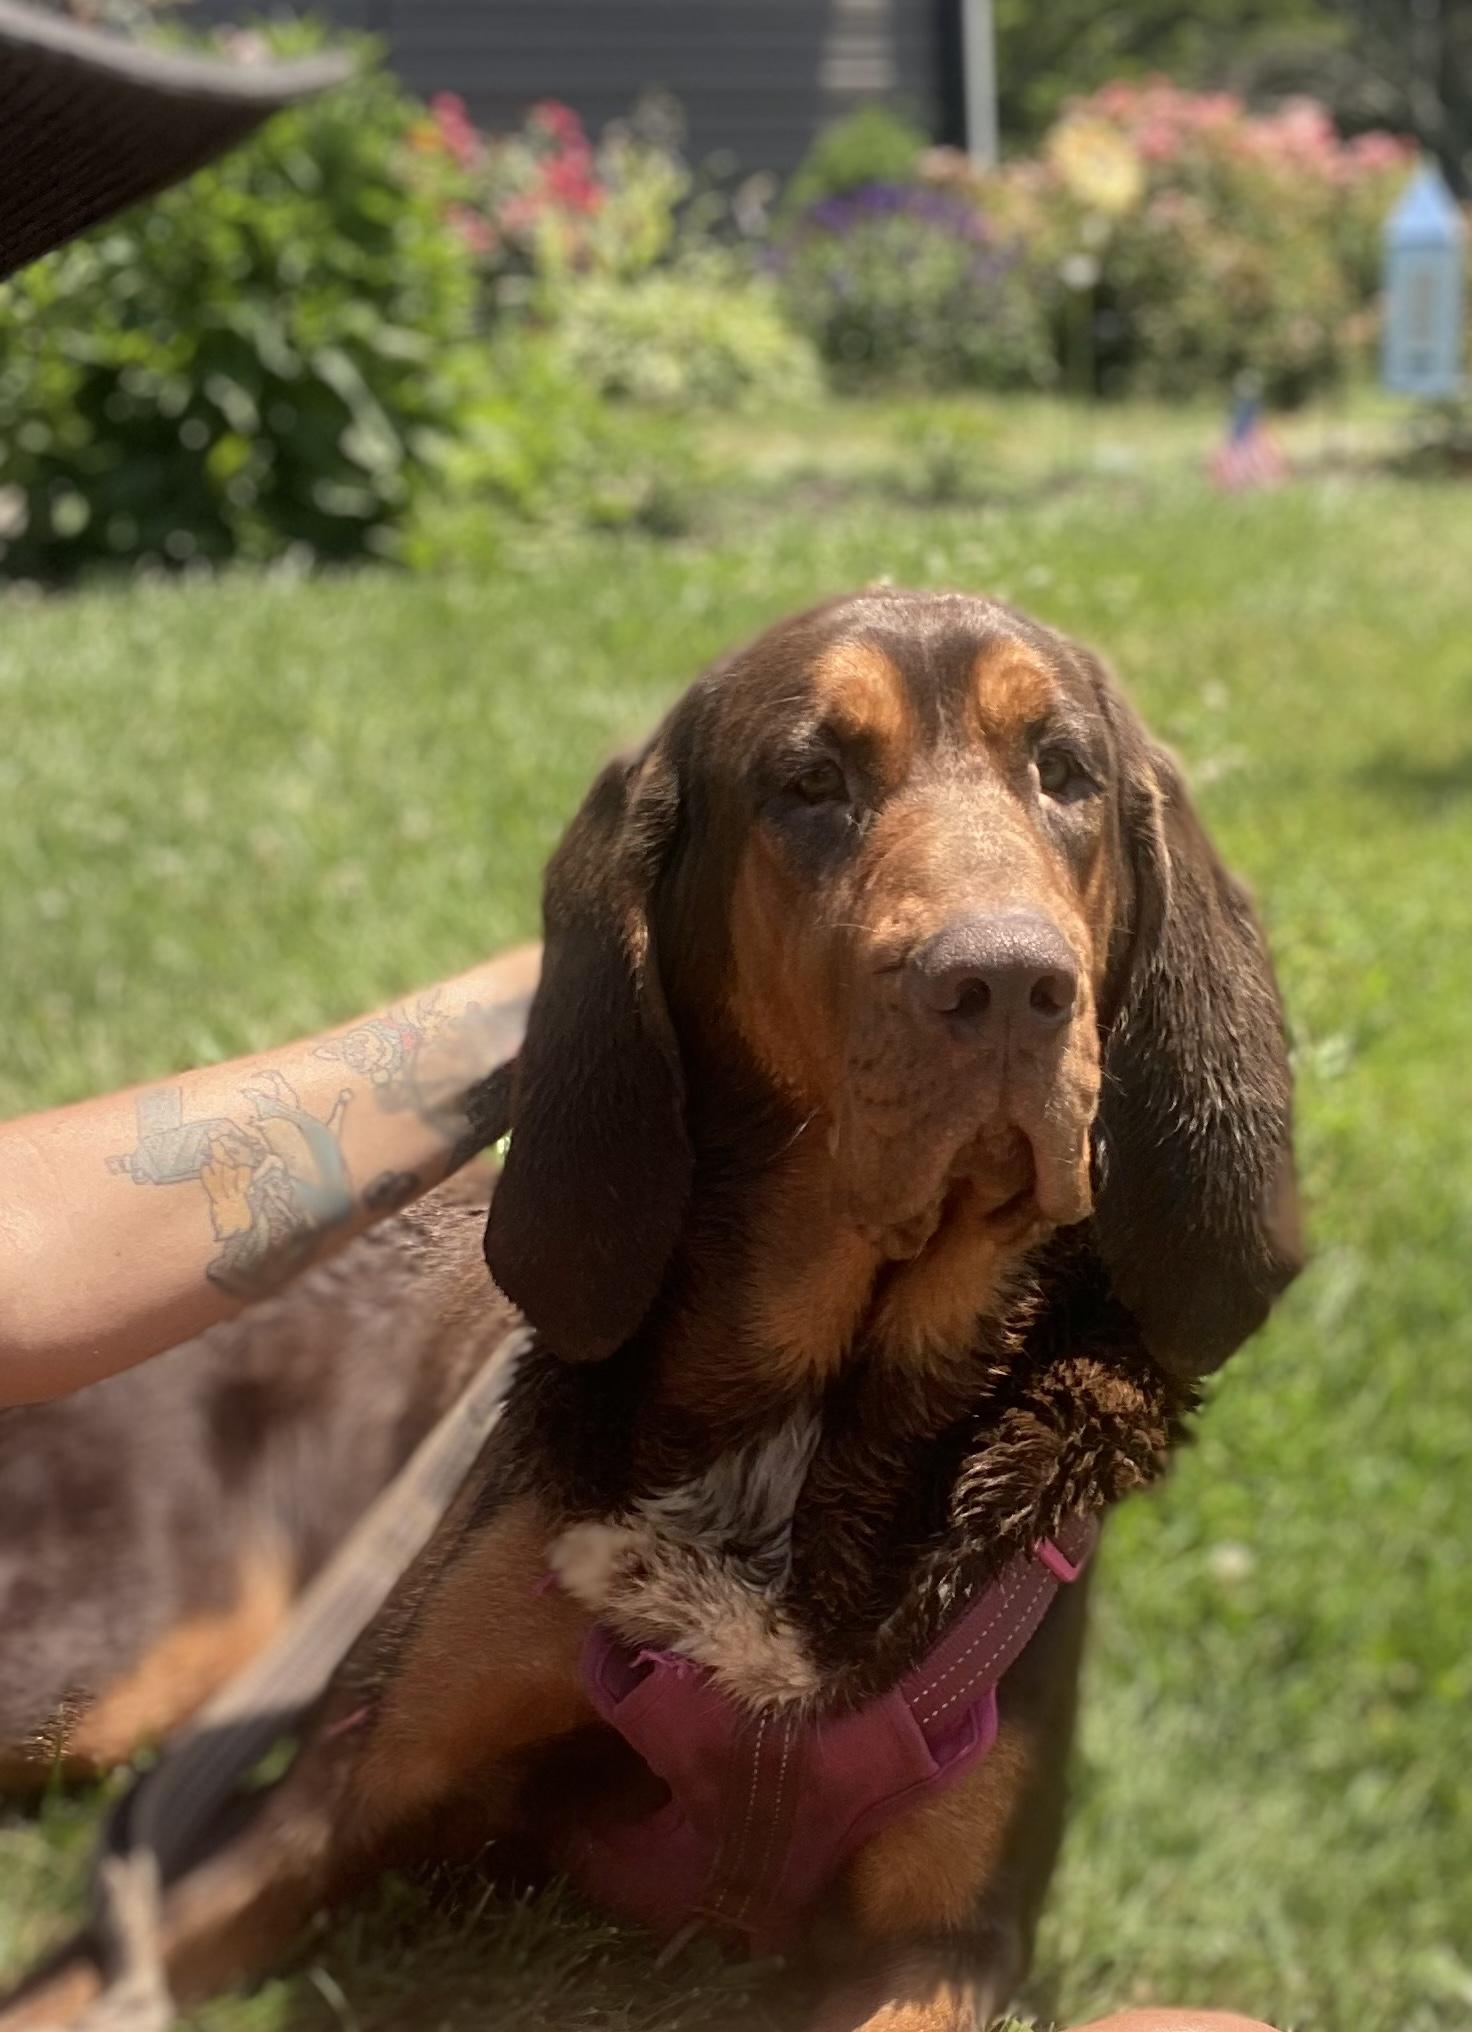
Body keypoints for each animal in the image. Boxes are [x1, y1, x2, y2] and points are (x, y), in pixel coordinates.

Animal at [1, 589, 1300, 2032]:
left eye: (1063, 771)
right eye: (809, 782)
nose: (1008, 984)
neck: (808, 1427)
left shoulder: (942, 1943)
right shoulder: (316, 1812)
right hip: (108, 1664)